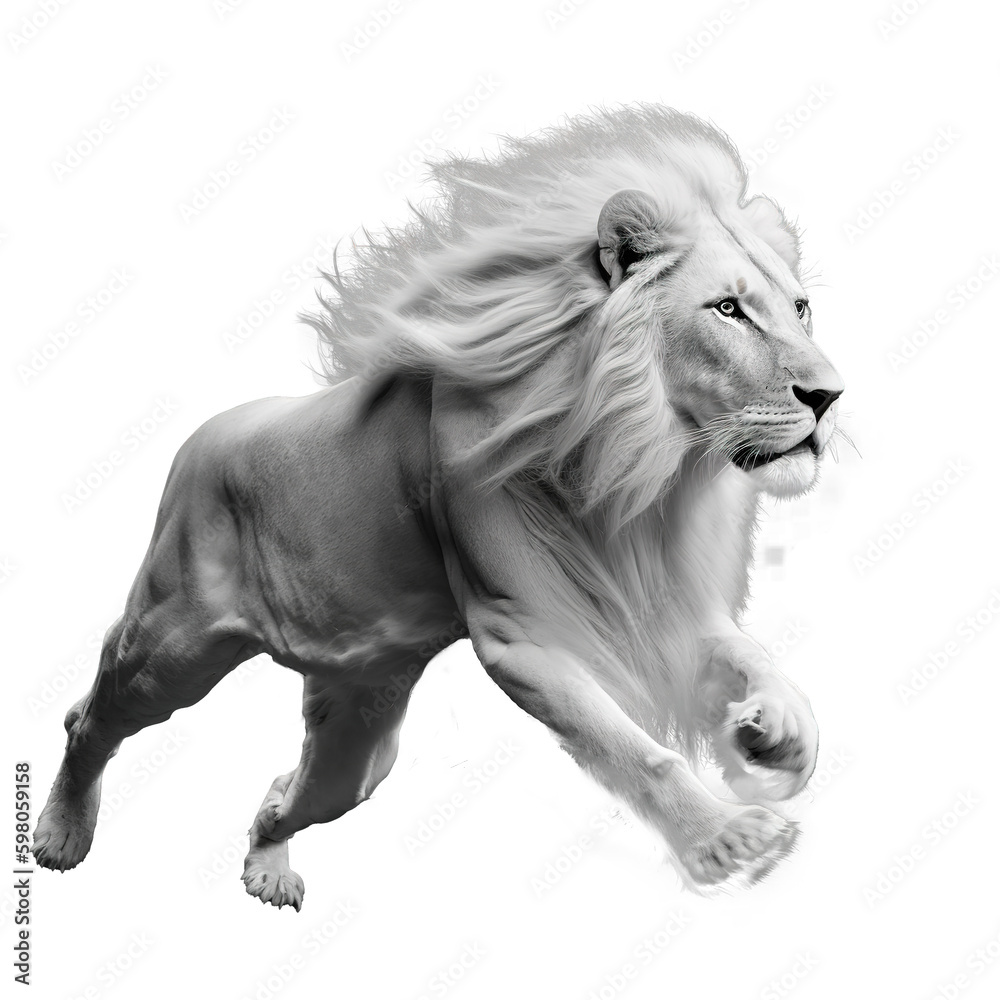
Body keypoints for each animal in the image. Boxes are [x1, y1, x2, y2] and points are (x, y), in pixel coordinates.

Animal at [34, 105, 844, 907]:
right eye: (729, 309)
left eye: (801, 308)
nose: (830, 396)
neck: (642, 468)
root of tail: (199, 437)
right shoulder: (523, 632)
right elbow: (632, 750)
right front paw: (725, 837)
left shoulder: (676, 603)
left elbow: (754, 660)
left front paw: (776, 735)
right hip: (172, 646)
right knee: (87, 715)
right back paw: (59, 835)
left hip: (358, 740)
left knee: (287, 792)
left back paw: (267, 869)